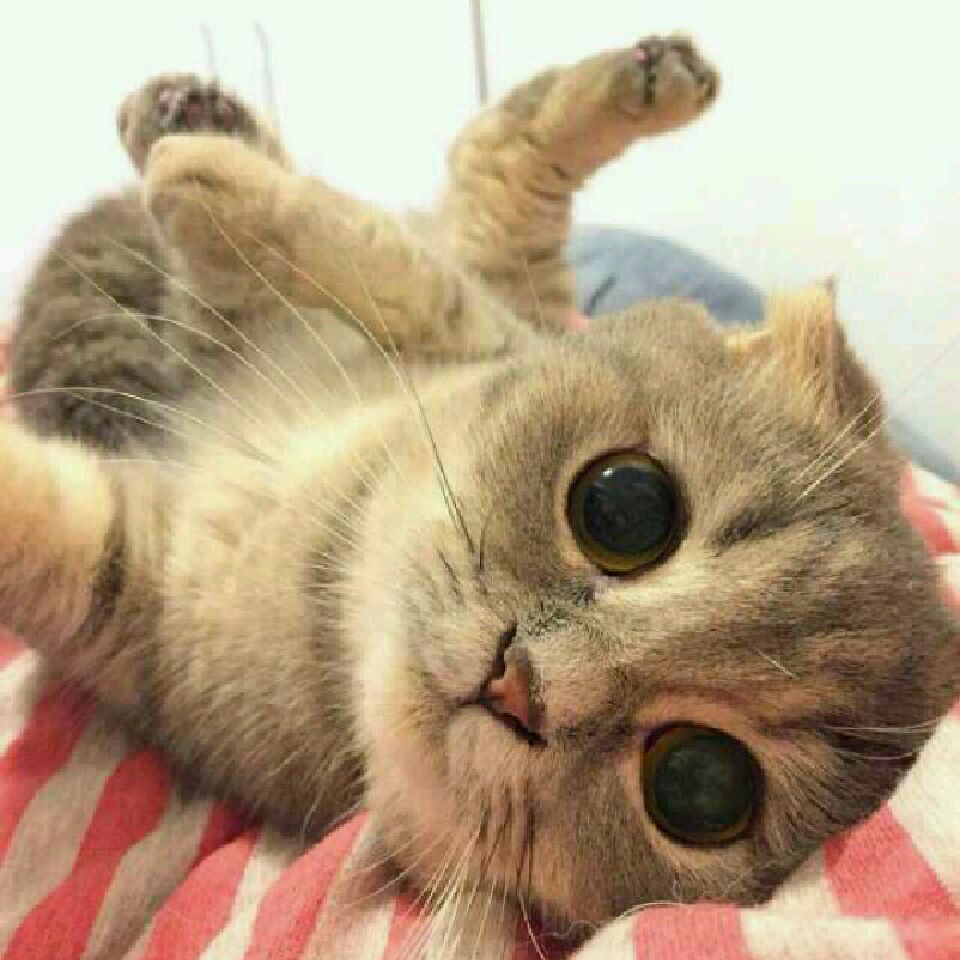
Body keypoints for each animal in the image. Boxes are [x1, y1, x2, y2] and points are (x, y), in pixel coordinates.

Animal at [3, 30, 958, 949]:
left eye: (698, 784)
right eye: (625, 505)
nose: (522, 684)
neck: (330, 548)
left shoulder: (125, 583)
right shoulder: (475, 340)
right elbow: (417, 280)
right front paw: (215, 185)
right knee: (491, 182)